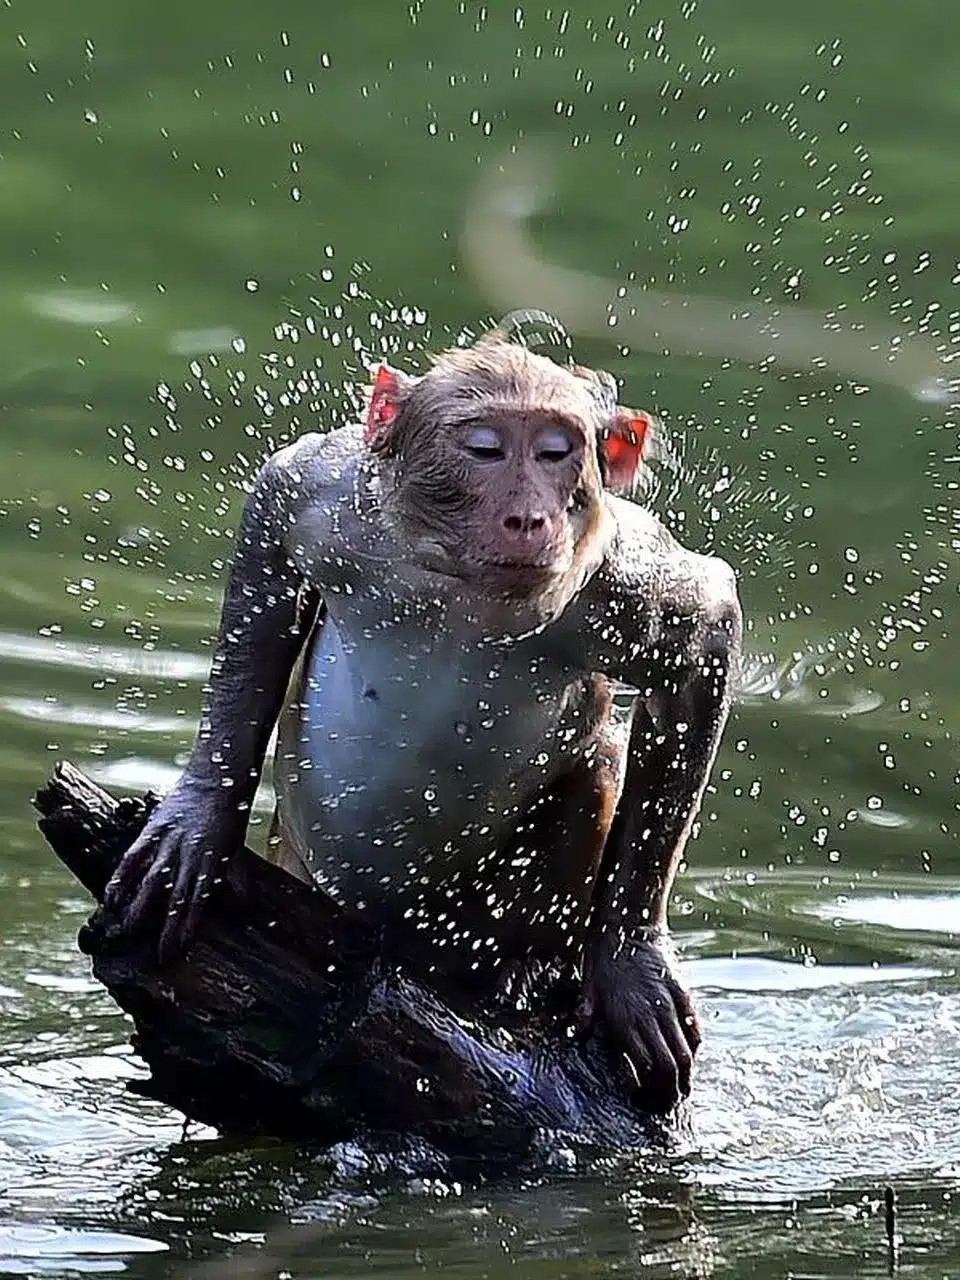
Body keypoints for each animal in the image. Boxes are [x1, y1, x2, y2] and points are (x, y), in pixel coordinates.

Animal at [102, 325, 742, 1115]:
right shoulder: (335, 508)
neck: (466, 590)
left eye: (556, 452)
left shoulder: (614, 578)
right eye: (486, 448)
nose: (529, 517)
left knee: (595, 765)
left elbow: (703, 631)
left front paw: (632, 962)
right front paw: (202, 815)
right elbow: (274, 506)